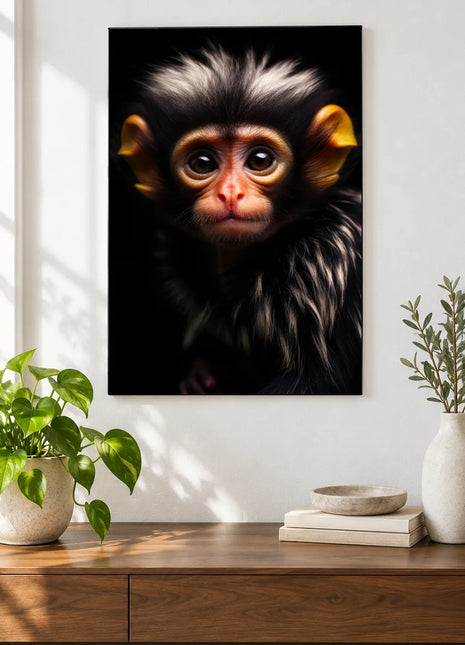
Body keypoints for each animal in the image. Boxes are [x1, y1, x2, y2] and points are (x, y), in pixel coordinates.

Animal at [115, 46, 362, 395]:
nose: (230, 194)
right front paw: (201, 374)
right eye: (202, 163)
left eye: (260, 160)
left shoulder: (326, 259)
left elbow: (315, 381)